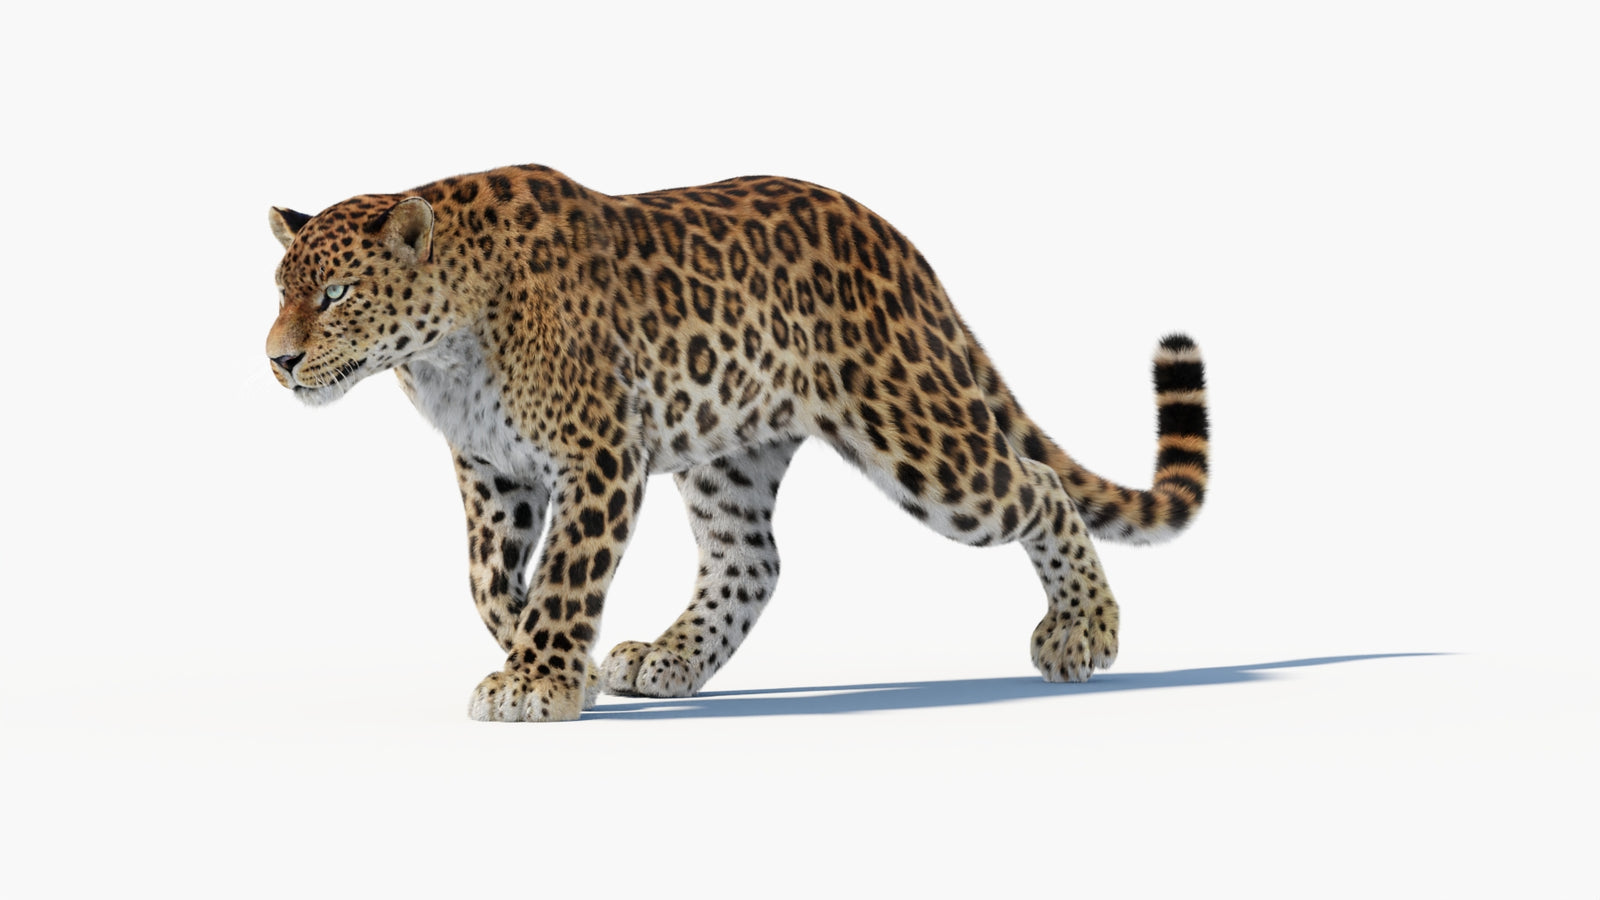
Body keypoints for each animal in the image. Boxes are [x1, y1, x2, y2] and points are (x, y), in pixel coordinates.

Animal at [265, 164, 1210, 722]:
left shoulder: (599, 452)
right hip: (730, 454)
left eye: (337, 293)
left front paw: (539, 678)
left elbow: (567, 571)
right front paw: (557, 660)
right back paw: (664, 659)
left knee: (1036, 487)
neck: (442, 350)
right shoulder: (492, 472)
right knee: (751, 560)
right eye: (279, 291)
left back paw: (1084, 632)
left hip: (919, 436)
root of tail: (898, 243)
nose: (277, 359)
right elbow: (486, 581)